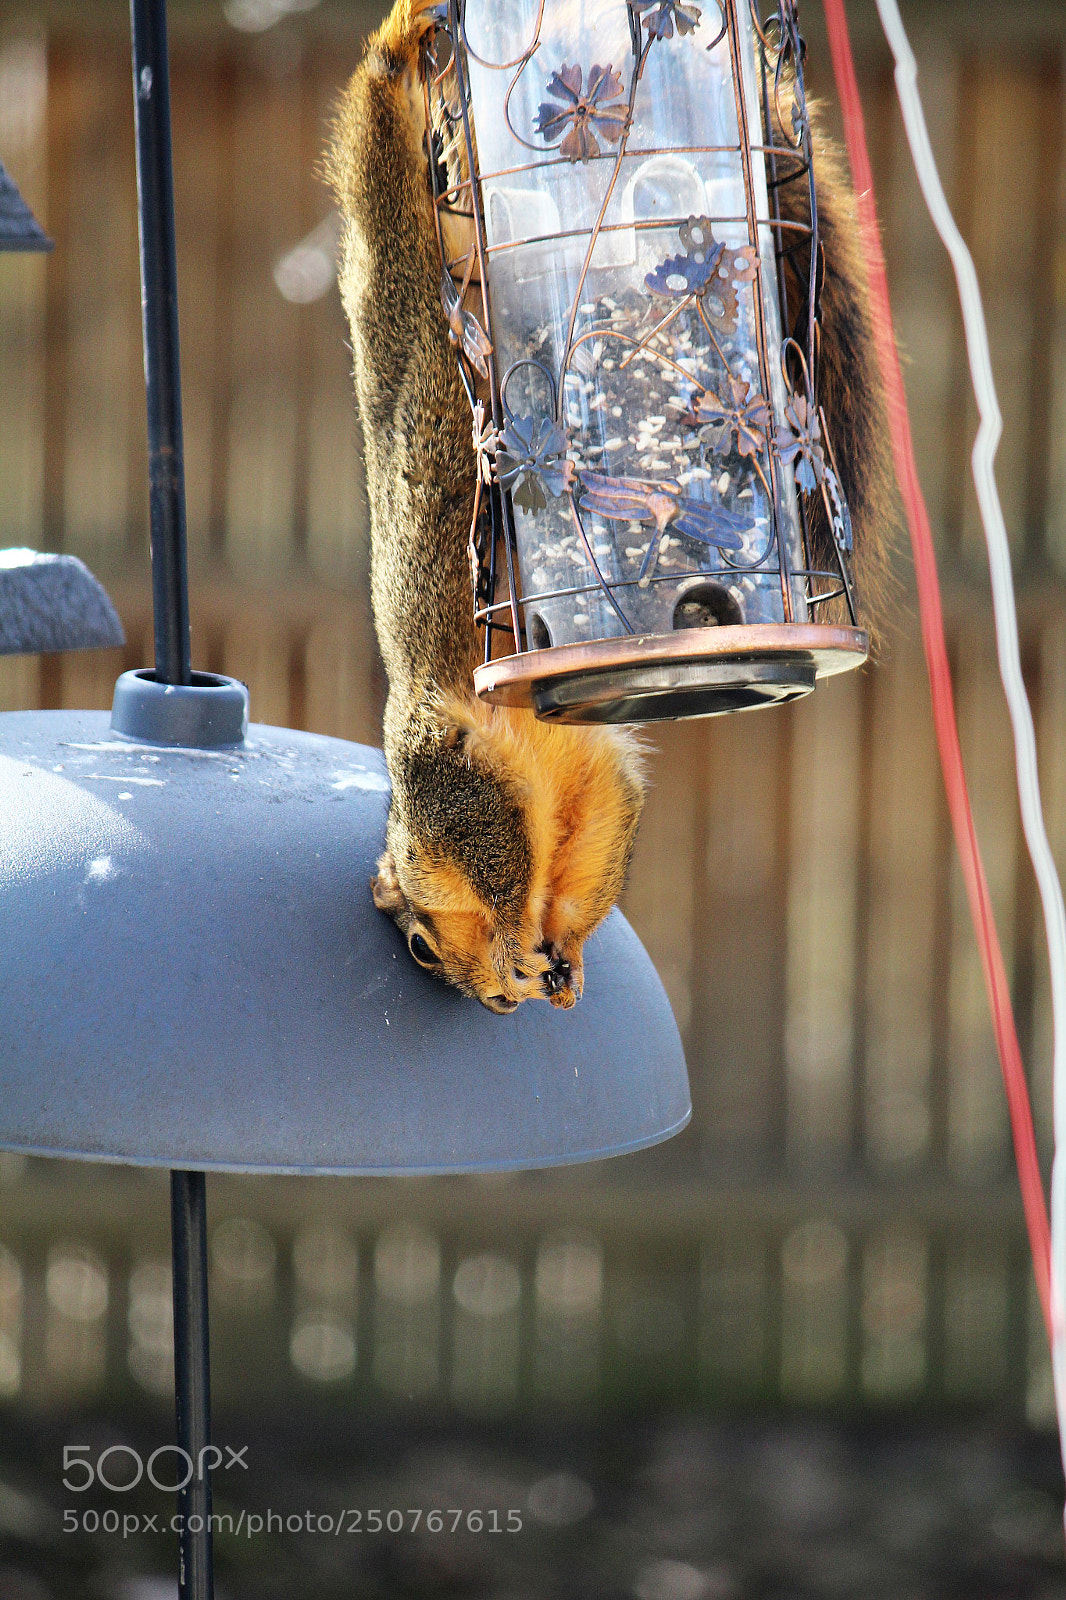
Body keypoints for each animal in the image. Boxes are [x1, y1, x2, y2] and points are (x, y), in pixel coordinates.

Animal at [326, 0, 892, 1014]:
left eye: (422, 949)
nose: (497, 1003)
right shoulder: (593, 772)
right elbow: (592, 852)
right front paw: (559, 960)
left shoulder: (455, 788)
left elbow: (503, 863)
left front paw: (525, 944)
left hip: (389, 232)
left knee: (377, 128)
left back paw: (405, 40)